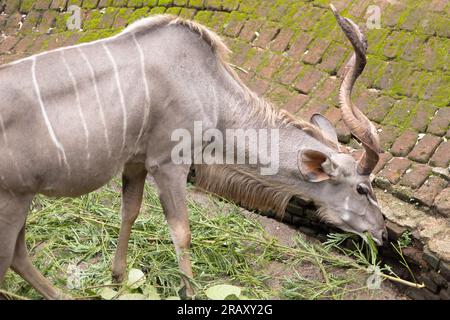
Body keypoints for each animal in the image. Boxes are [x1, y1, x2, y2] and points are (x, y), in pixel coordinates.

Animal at [0, 5, 386, 298]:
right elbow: (182, 231)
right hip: (14, 198)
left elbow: (130, 212)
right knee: (11, 255)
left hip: (21, 198)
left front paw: (118, 279)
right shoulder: (168, 164)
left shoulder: (136, 162)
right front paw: (189, 292)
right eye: (362, 188)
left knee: (17, 253)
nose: (382, 233)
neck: (211, 87)